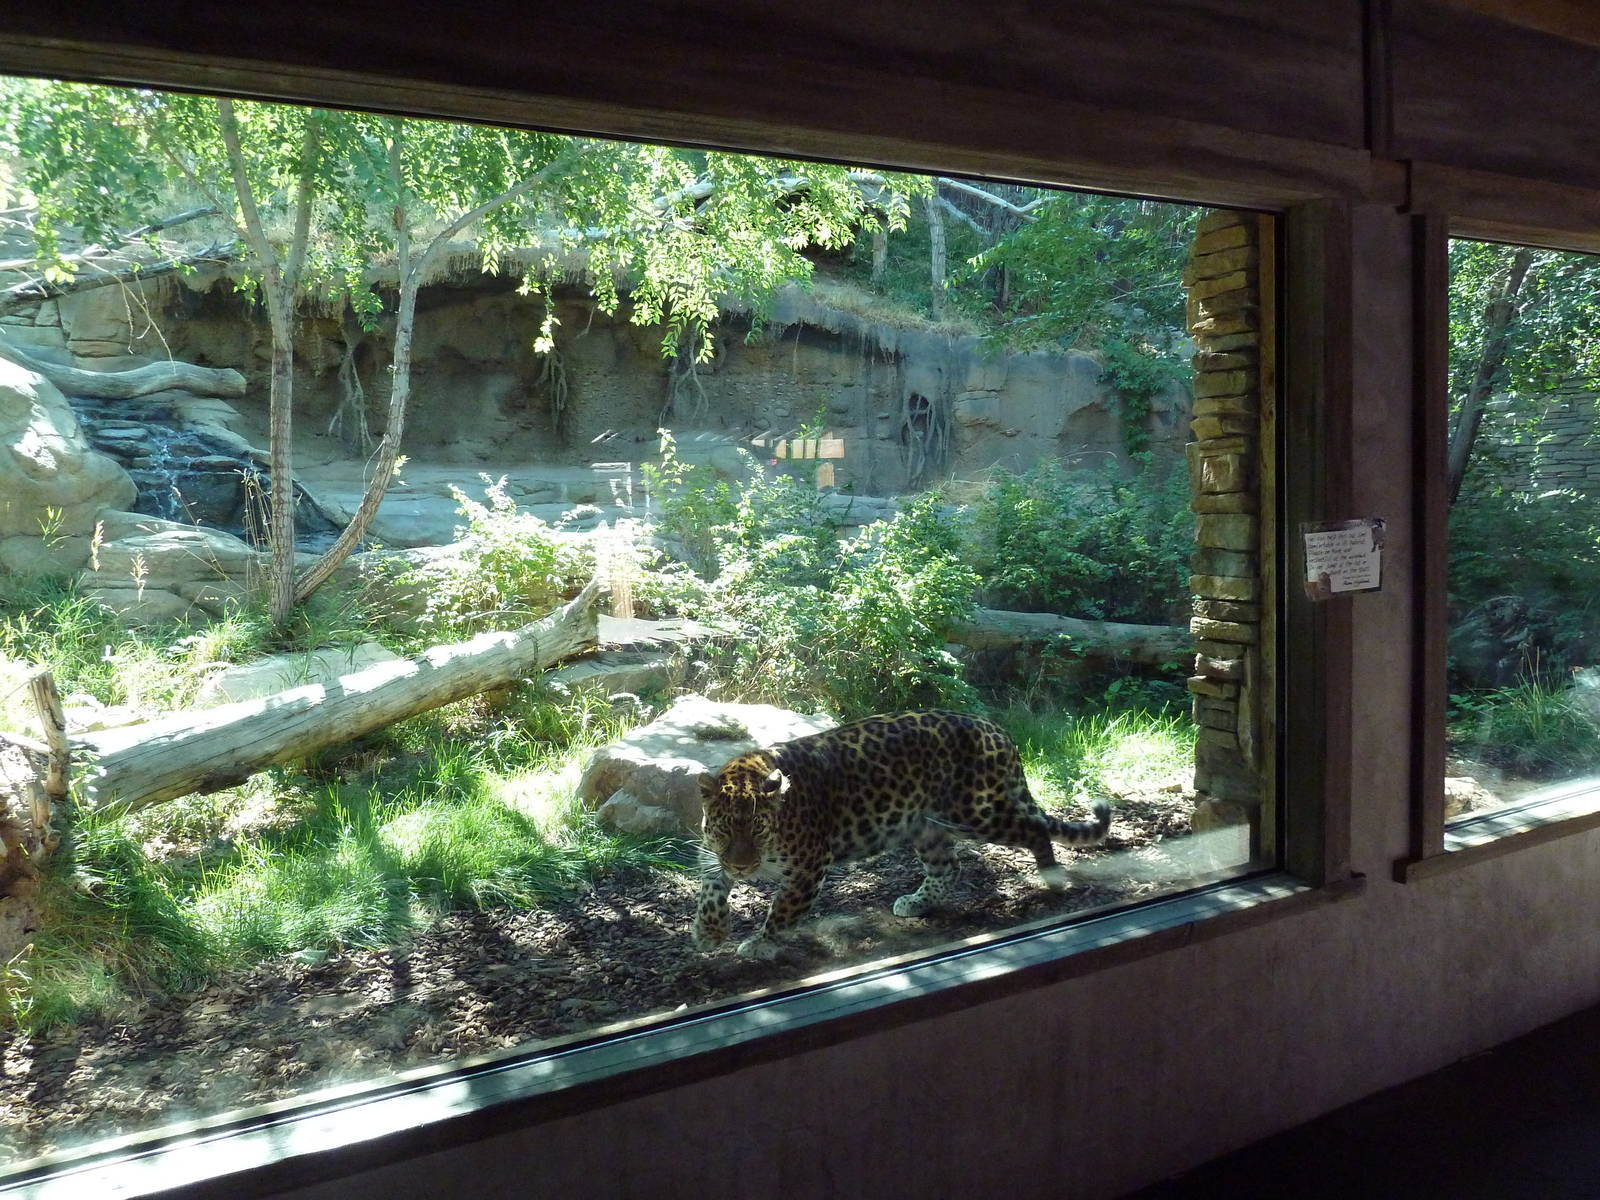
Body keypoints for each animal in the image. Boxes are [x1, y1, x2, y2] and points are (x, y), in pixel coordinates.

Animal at [692, 709, 1111, 959]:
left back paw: (1053, 878)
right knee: (949, 867)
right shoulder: (713, 855)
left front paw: (759, 943)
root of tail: (996, 729)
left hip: (976, 812)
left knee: (1036, 828)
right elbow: (710, 890)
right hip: (927, 826)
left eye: (759, 829)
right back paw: (916, 903)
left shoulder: (809, 866)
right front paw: (708, 932)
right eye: (725, 828)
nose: (742, 869)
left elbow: (782, 911)